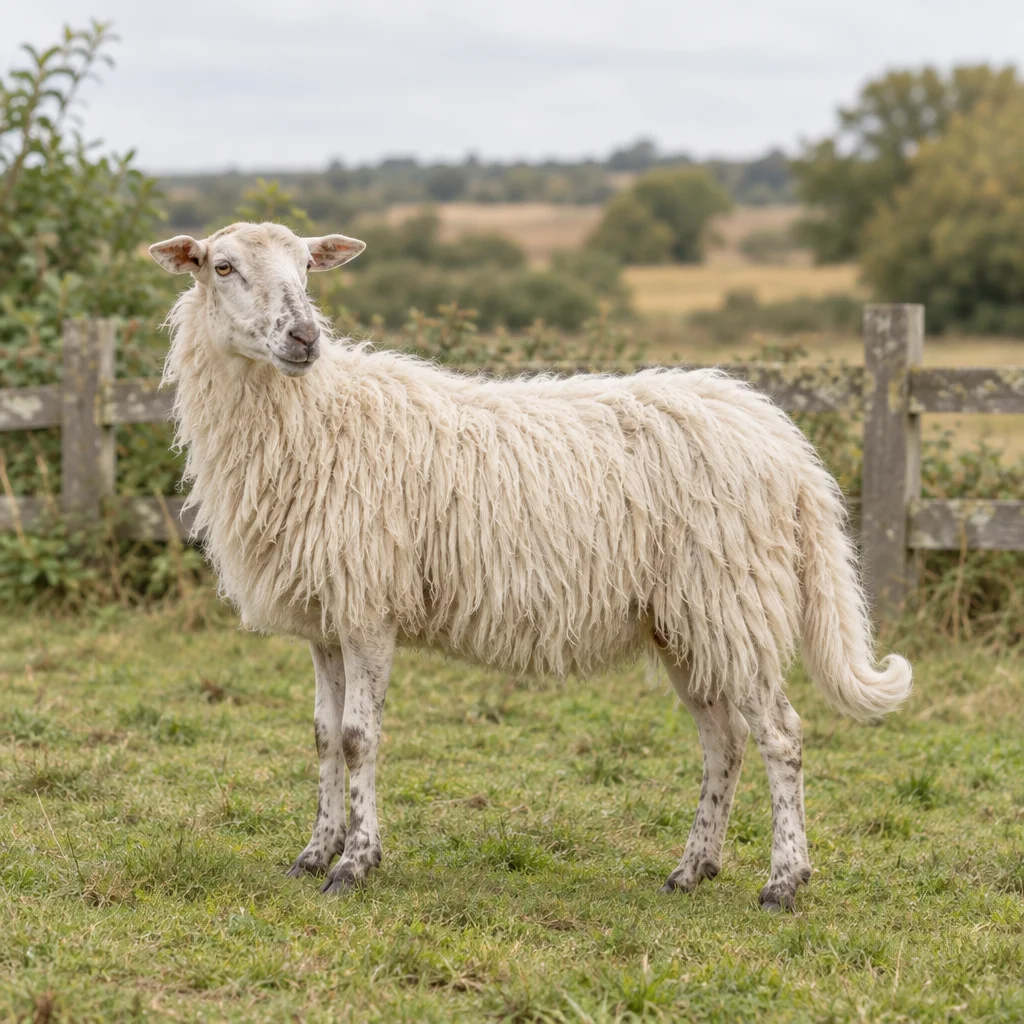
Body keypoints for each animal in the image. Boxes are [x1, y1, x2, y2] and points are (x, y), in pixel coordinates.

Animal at [149, 221, 912, 910]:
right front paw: (314, 854)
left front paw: (355, 865)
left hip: (734, 600)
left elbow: (360, 740)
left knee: (781, 735)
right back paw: (691, 870)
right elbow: (324, 738)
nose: (305, 337)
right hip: (684, 621)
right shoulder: (327, 621)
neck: (317, 416)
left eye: (308, 266)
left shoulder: (369, 607)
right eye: (222, 266)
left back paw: (784, 882)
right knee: (723, 741)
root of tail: (786, 445)